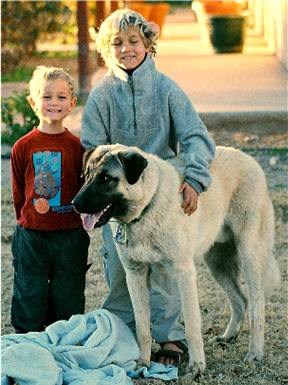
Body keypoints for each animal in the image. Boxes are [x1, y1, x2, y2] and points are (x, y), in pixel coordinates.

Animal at [73, 145, 280, 380]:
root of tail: (246, 157)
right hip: (216, 263)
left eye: (107, 178)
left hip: (249, 254)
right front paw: (142, 364)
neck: (147, 204)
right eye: (87, 175)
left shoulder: (184, 273)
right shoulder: (135, 275)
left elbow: (191, 325)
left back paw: (255, 352)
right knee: (240, 300)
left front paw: (197, 367)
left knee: (256, 306)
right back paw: (228, 336)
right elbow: (142, 328)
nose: (75, 204)